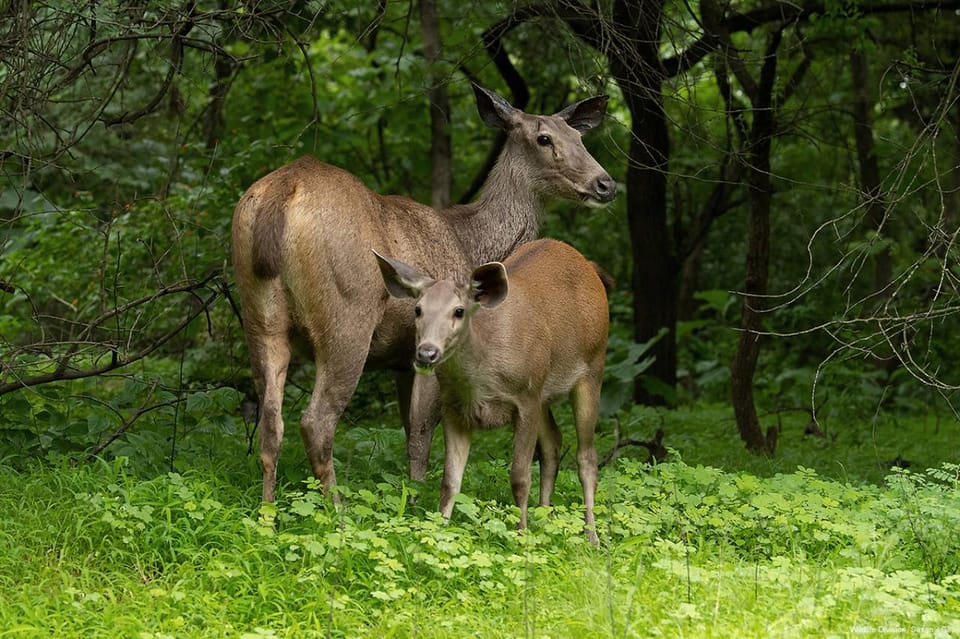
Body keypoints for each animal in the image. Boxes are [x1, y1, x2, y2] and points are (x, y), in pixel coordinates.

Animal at [229, 86, 612, 504]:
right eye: (544, 138)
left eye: (579, 137)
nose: (605, 183)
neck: (470, 242)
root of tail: (282, 194)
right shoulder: (431, 346)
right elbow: (421, 436)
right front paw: (416, 502)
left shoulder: (399, 359)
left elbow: (409, 429)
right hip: (347, 316)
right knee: (317, 421)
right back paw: (336, 510)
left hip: (259, 315)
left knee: (270, 423)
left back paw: (267, 511)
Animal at [376, 240, 608, 544]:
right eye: (417, 309)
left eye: (459, 311)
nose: (426, 353)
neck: (481, 382)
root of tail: (590, 267)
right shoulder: (454, 410)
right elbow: (450, 481)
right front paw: (439, 532)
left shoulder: (526, 398)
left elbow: (519, 476)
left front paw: (521, 535)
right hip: (544, 391)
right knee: (553, 443)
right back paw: (545, 518)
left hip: (592, 367)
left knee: (587, 457)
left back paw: (592, 537)